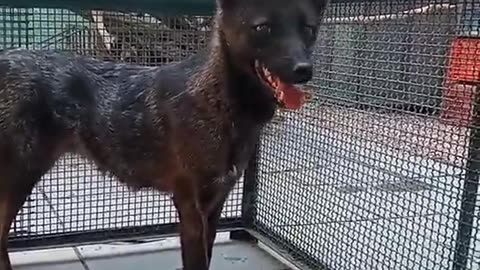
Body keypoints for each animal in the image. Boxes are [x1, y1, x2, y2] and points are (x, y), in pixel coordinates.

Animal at [0, 0, 326, 268]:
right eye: (263, 27)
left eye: (308, 29)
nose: (304, 70)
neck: (219, 102)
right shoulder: (190, 207)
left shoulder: (215, 204)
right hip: (18, 181)